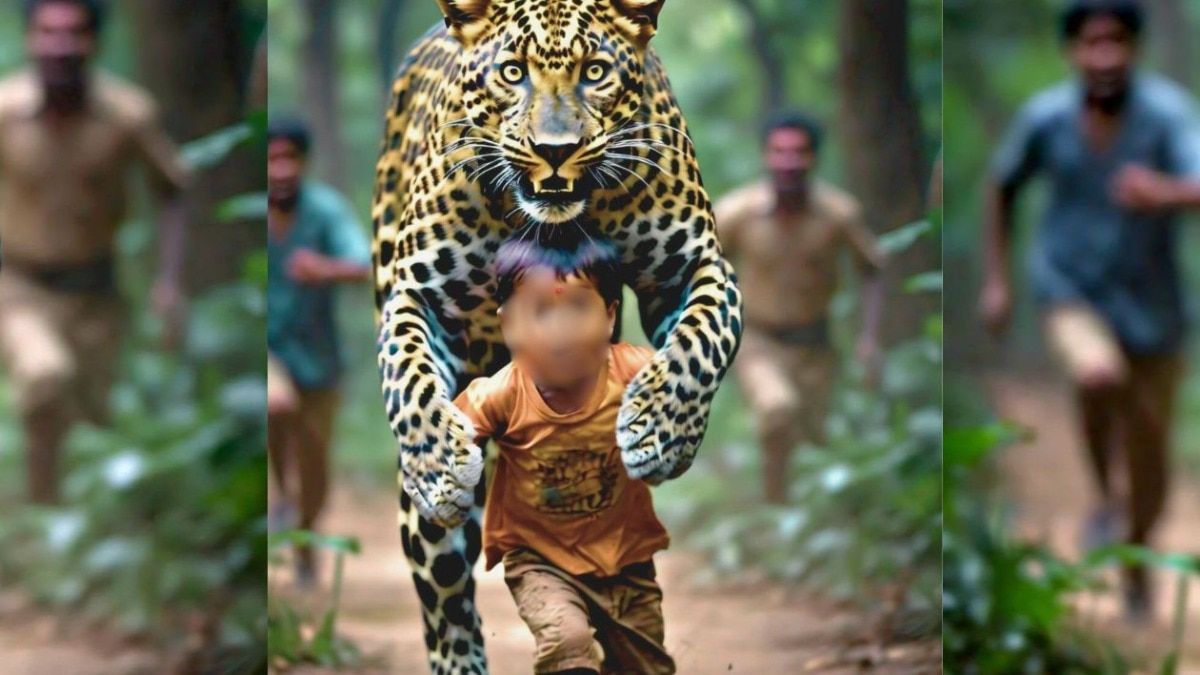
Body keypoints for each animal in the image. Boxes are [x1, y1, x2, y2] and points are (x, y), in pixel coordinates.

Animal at [371, 1, 743, 672]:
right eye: (512, 72)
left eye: (594, 71)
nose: (554, 151)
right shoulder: (419, 295)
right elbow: (409, 379)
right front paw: (441, 462)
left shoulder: (694, 267)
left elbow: (699, 344)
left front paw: (661, 434)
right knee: (447, 600)